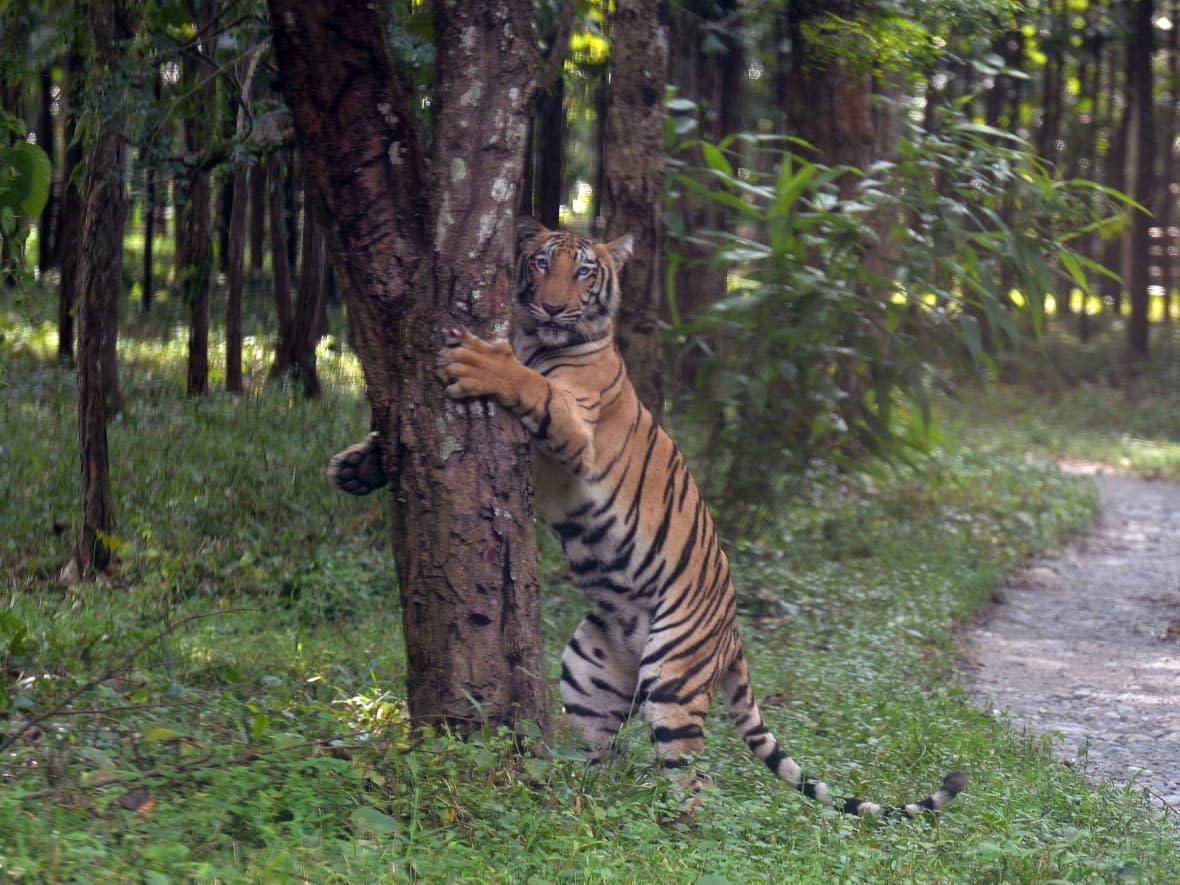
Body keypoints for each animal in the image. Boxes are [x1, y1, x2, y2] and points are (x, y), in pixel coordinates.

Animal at [325, 217, 967, 816]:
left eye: (584, 271)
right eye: (540, 263)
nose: (551, 305)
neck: (538, 338)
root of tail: (733, 633)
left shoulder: (574, 432)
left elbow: (532, 385)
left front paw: (482, 361)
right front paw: (355, 467)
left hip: (673, 673)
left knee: (694, 780)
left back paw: (674, 830)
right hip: (588, 669)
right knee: (598, 757)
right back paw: (576, 801)